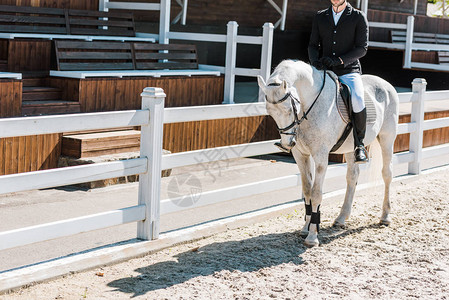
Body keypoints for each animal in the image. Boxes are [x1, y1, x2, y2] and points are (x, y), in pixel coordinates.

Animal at [258, 59, 398, 247]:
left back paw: (385, 216)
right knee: (352, 176)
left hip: (387, 138)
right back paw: (341, 218)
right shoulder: (300, 155)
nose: (287, 144)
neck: (310, 105)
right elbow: (307, 190)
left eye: (289, 109)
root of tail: (385, 83)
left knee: (387, 174)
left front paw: (312, 237)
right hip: (351, 148)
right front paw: (306, 227)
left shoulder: (321, 156)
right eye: (270, 112)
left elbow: (316, 193)